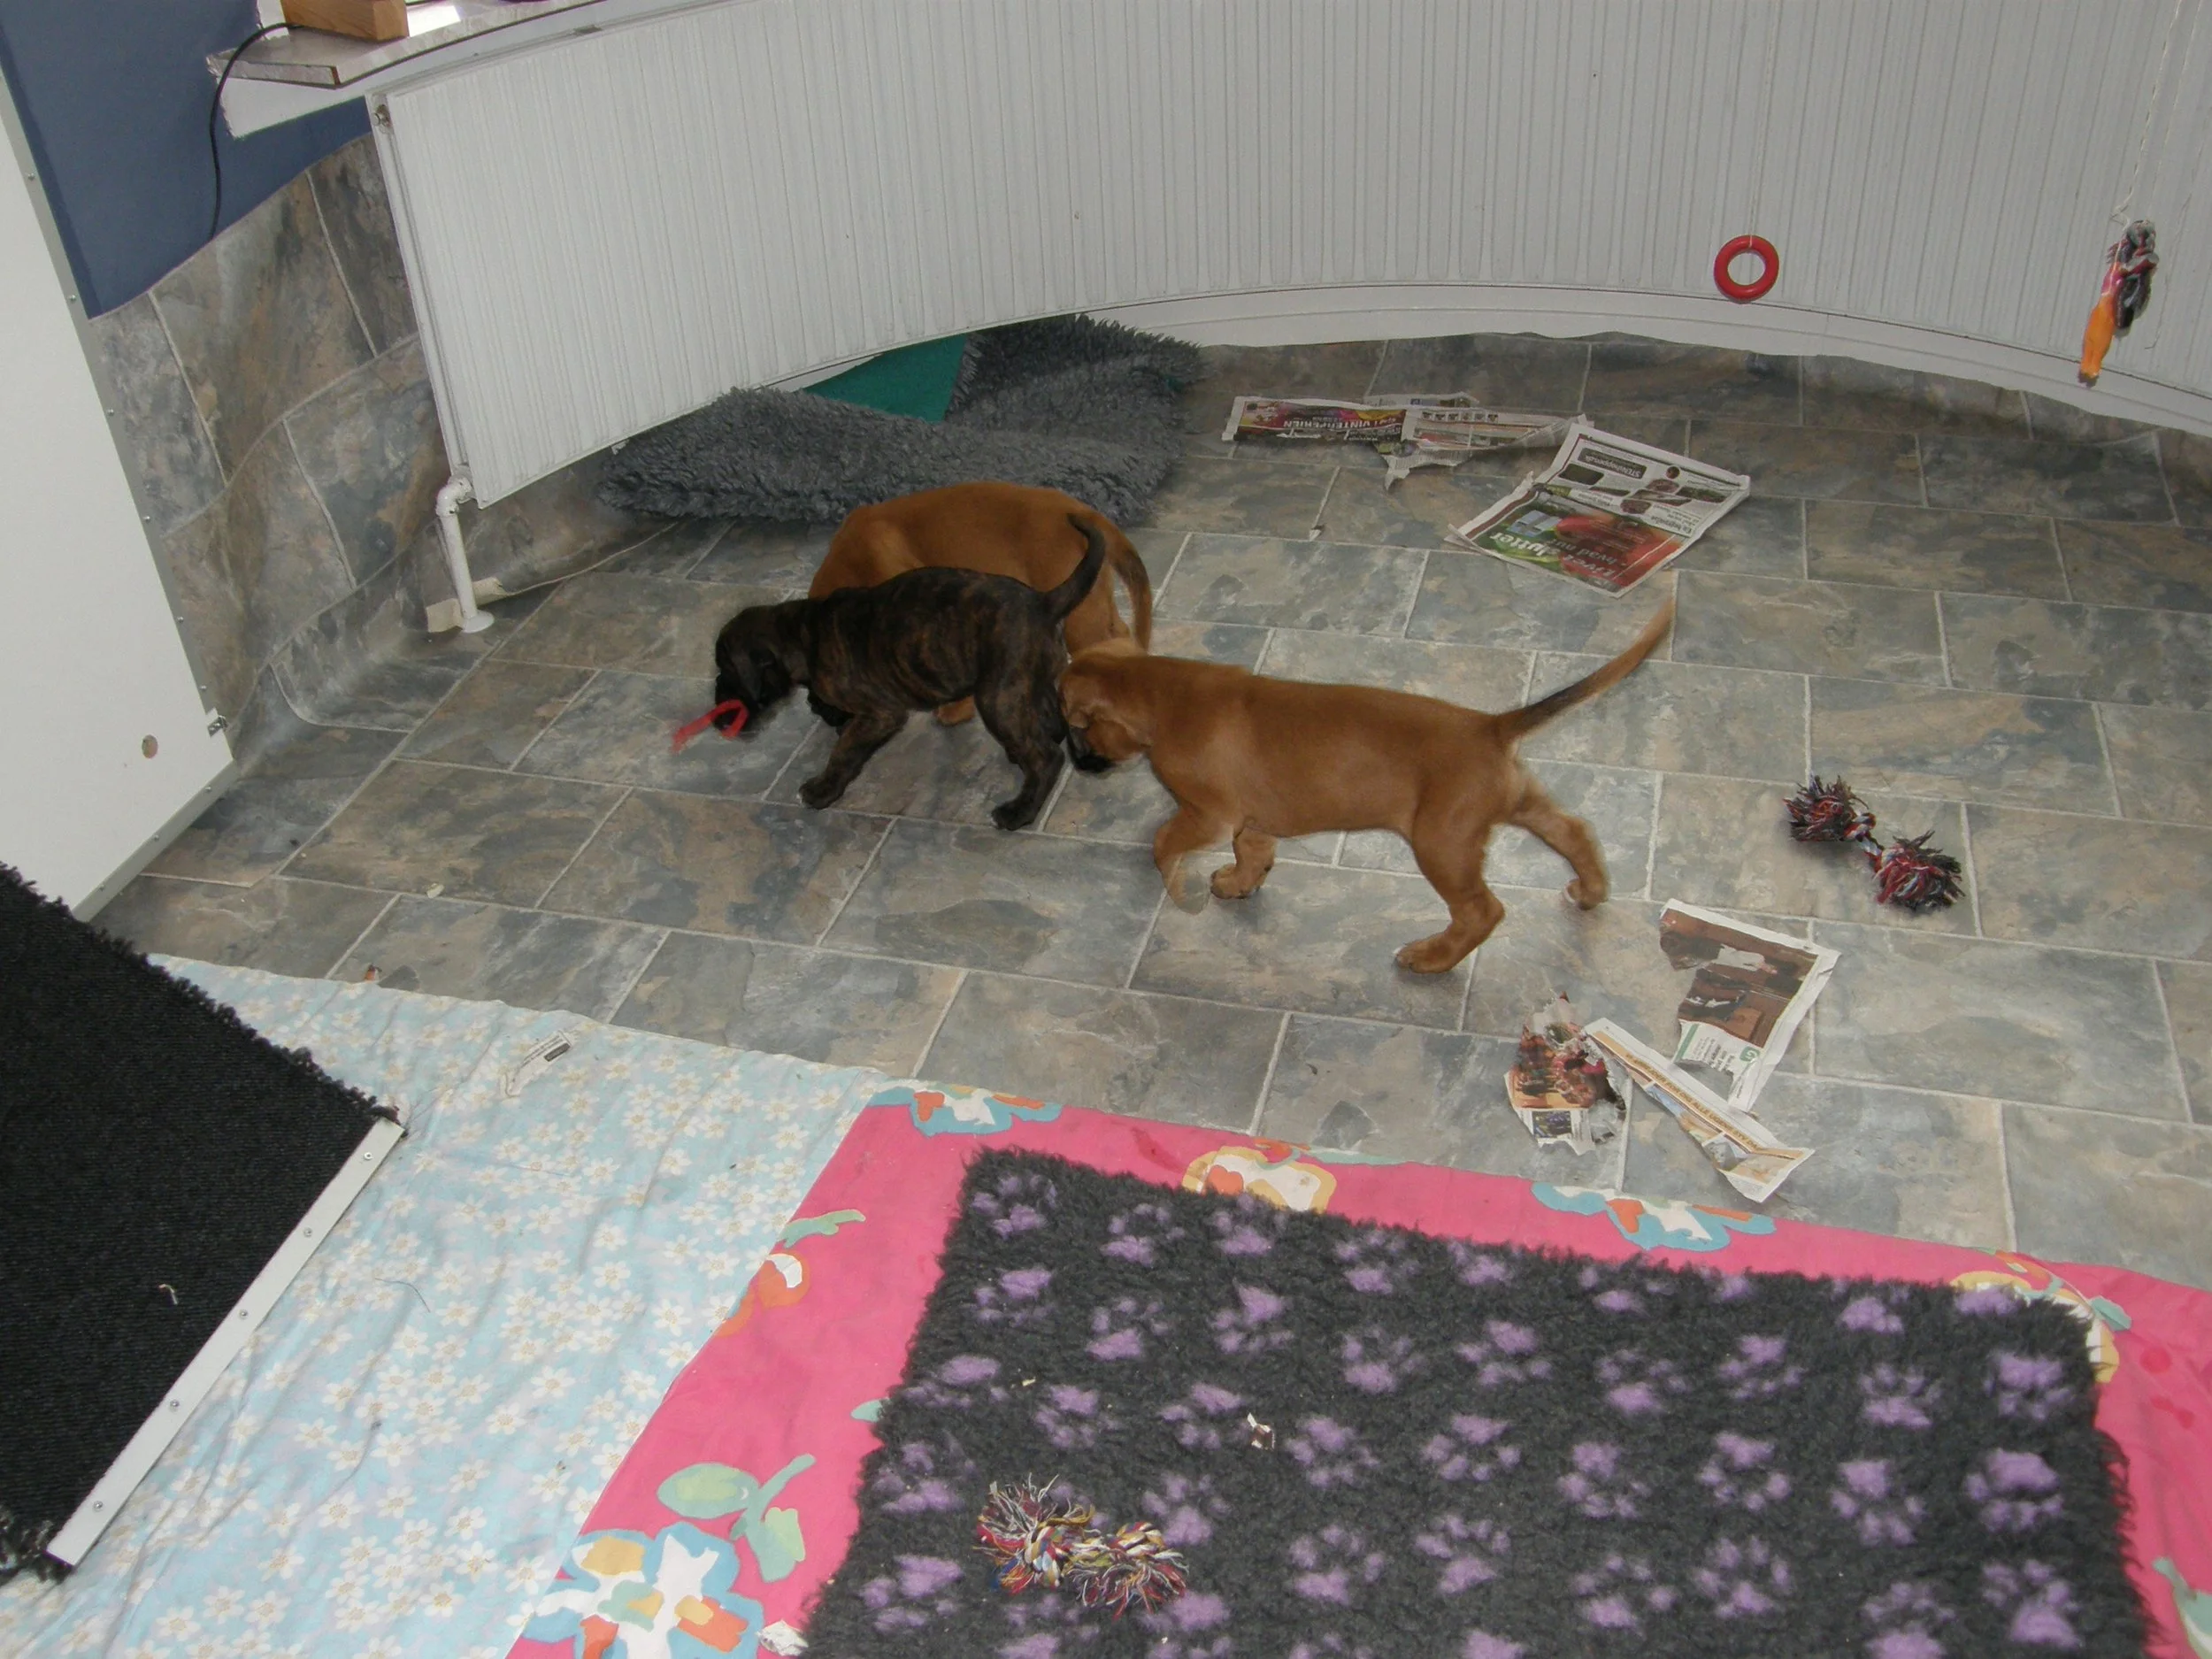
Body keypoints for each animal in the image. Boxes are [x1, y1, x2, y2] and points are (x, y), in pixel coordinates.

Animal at [712, 514, 1111, 830]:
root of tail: (1043, 602)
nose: (717, 713)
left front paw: (822, 789)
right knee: (1055, 724)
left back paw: (1019, 812)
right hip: (1030, 682)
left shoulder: (881, 714)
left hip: (997, 697)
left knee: (1047, 757)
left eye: (726, 673)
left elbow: (845, 751)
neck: (802, 633)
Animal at [808, 483, 1153, 726]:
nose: (816, 710)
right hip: (1094, 600)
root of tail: (1084, 511)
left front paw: (955, 709)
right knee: (1119, 633)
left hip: (1078, 618)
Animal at [1059, 599, 1675, 972]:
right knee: (1575, 832)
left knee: (1483, 911)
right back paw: (1590, 891)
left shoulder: (1208, 815)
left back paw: (1431, 958)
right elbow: (1252, 854)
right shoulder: (1251, 821)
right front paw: (1238, 884)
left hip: (1442, 845)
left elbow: (1163, 841)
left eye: (1073, 726)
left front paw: (1177, 890)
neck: (1160, 690)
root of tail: (1490, 725)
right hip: (1520, 805)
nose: (1075, 761)